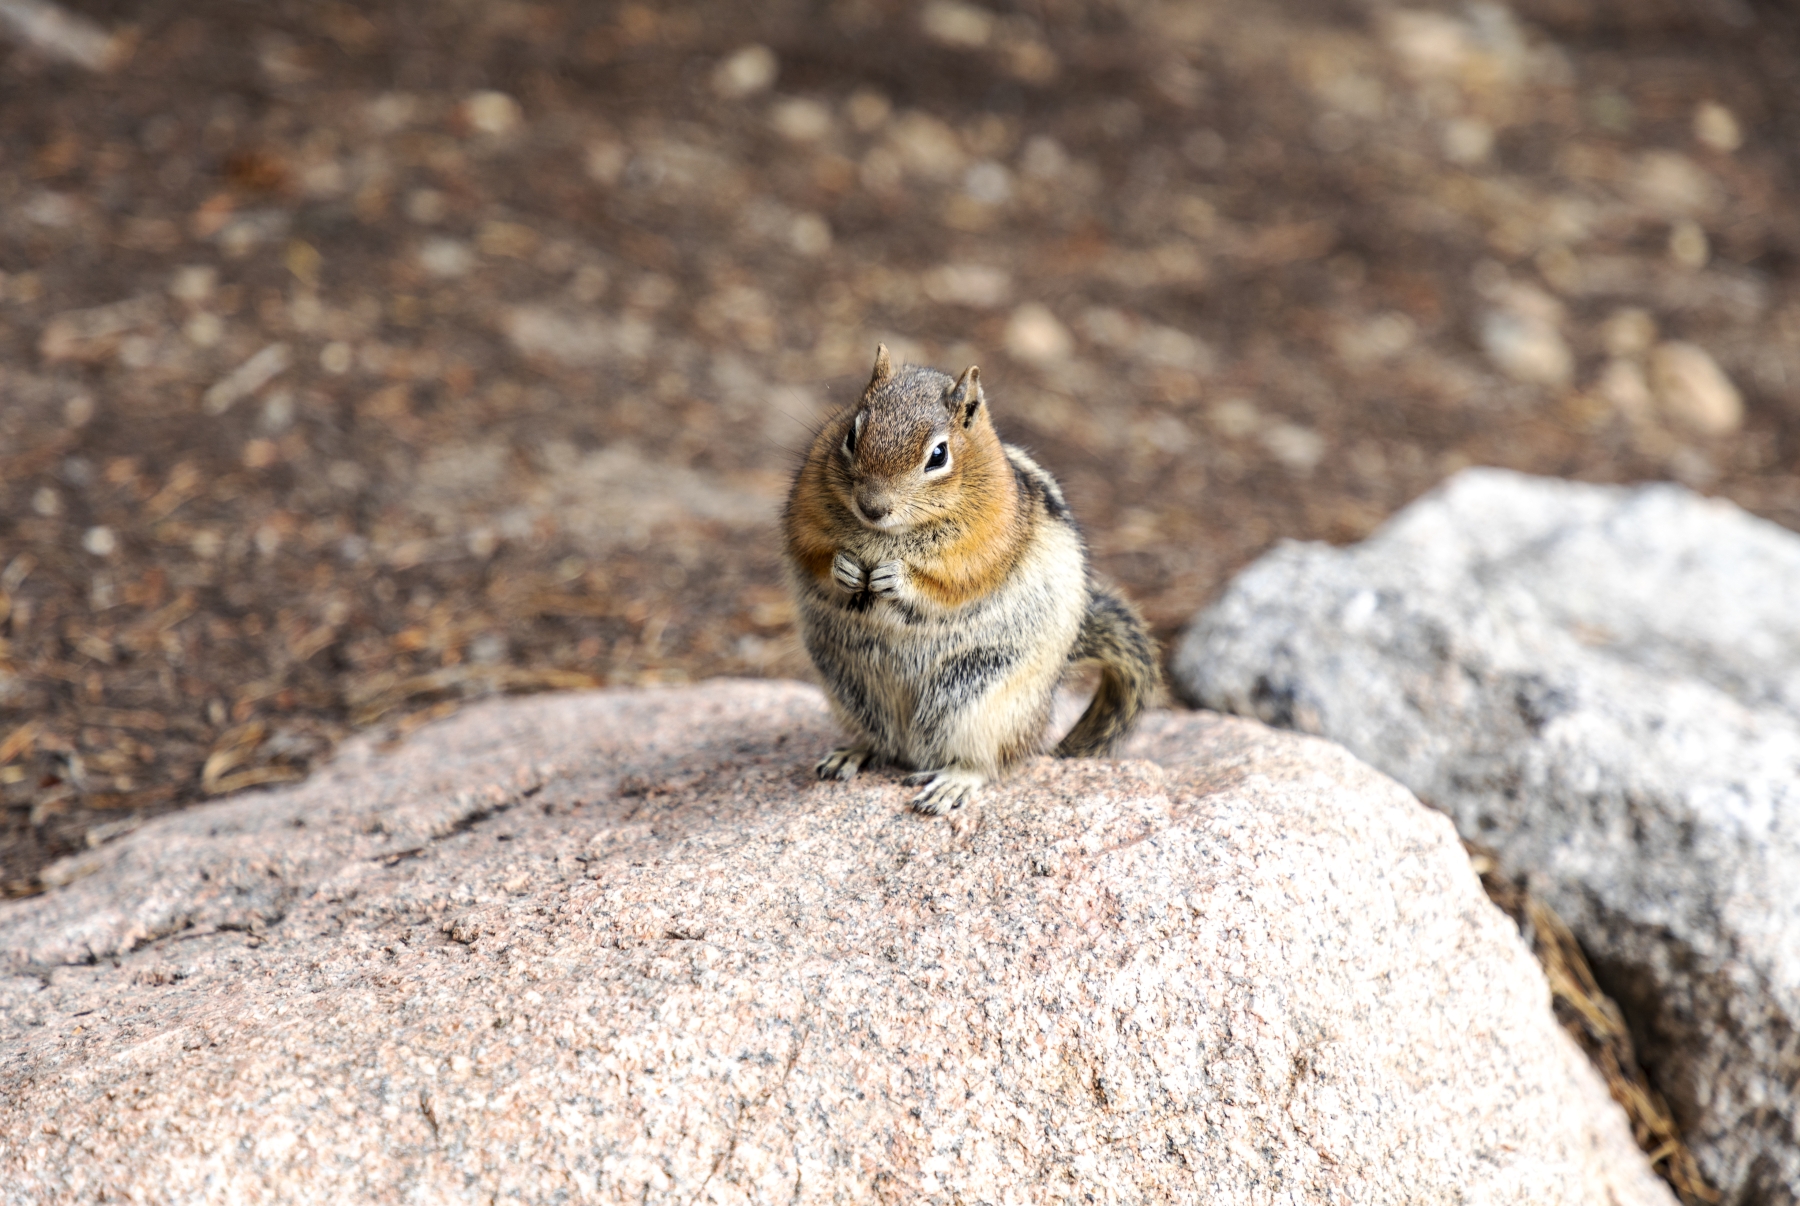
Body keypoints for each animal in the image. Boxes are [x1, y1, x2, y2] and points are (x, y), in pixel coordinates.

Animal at [783, 344, 1160, 814]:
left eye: (939, 456)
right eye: (851, 434)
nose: (872, 506)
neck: (886, 537)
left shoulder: (984, 546)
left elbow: (954, 581)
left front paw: (899, 578)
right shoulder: (805, 514)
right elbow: (809, 553)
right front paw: (843, 569)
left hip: (981, 703)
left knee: (990, 761)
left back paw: (952, 783)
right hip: (849, 690)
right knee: (882, 742)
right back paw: (852, 752)